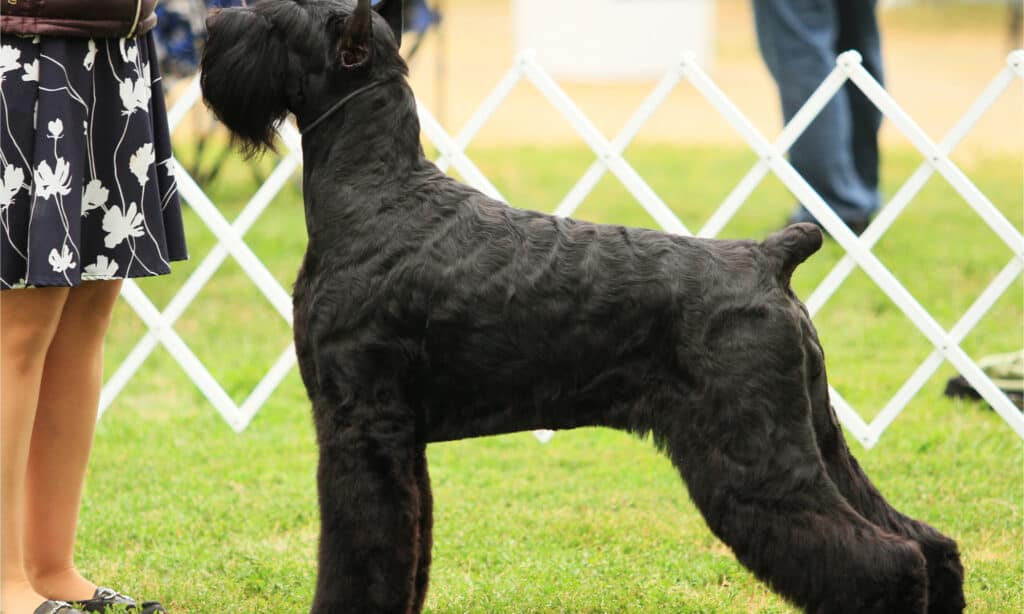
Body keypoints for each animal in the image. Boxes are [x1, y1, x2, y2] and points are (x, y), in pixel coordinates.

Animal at [197, 2, 958, 609]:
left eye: (277, 21)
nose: (209, 24)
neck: (376, 190)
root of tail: (771, 258)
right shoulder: (400, 441)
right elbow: (408, 552)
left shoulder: (361, 427)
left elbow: (361, 553)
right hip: (814, 436)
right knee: (929, 542)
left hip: (757, 455)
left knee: (886, 560)